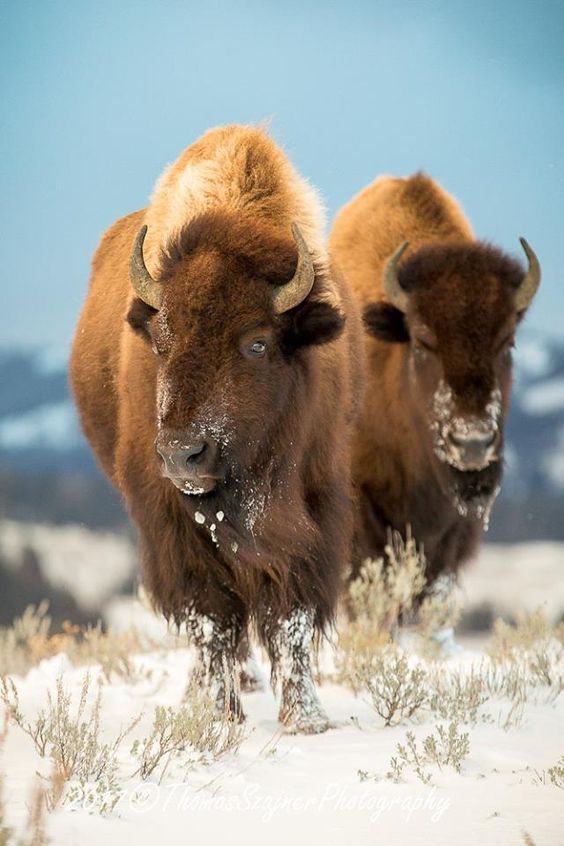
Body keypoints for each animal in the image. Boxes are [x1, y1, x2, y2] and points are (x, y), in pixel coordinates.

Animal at [69, 127, 362, 736]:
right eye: (161, 341)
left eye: (257, 342)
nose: (184, 455)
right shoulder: (169, 520)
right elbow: (211, 616)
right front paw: (212, 712)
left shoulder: (314, 509)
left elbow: (291, 616)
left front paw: (307, 719)